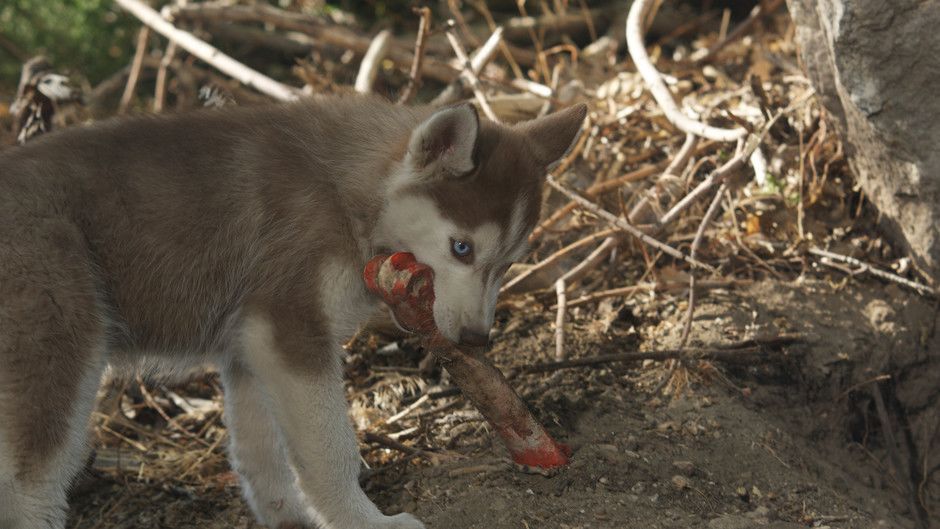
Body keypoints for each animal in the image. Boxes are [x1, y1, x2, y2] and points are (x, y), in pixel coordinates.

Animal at [0, 96, 584, 528]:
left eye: (508, 263)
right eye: (461, 248)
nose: (476, 340)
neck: (345, 191)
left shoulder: (250, 346)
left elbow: (263, 457)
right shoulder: (290, 329)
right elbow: (330, 452)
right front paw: (364, 521)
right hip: (59, 345)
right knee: (28, 483)